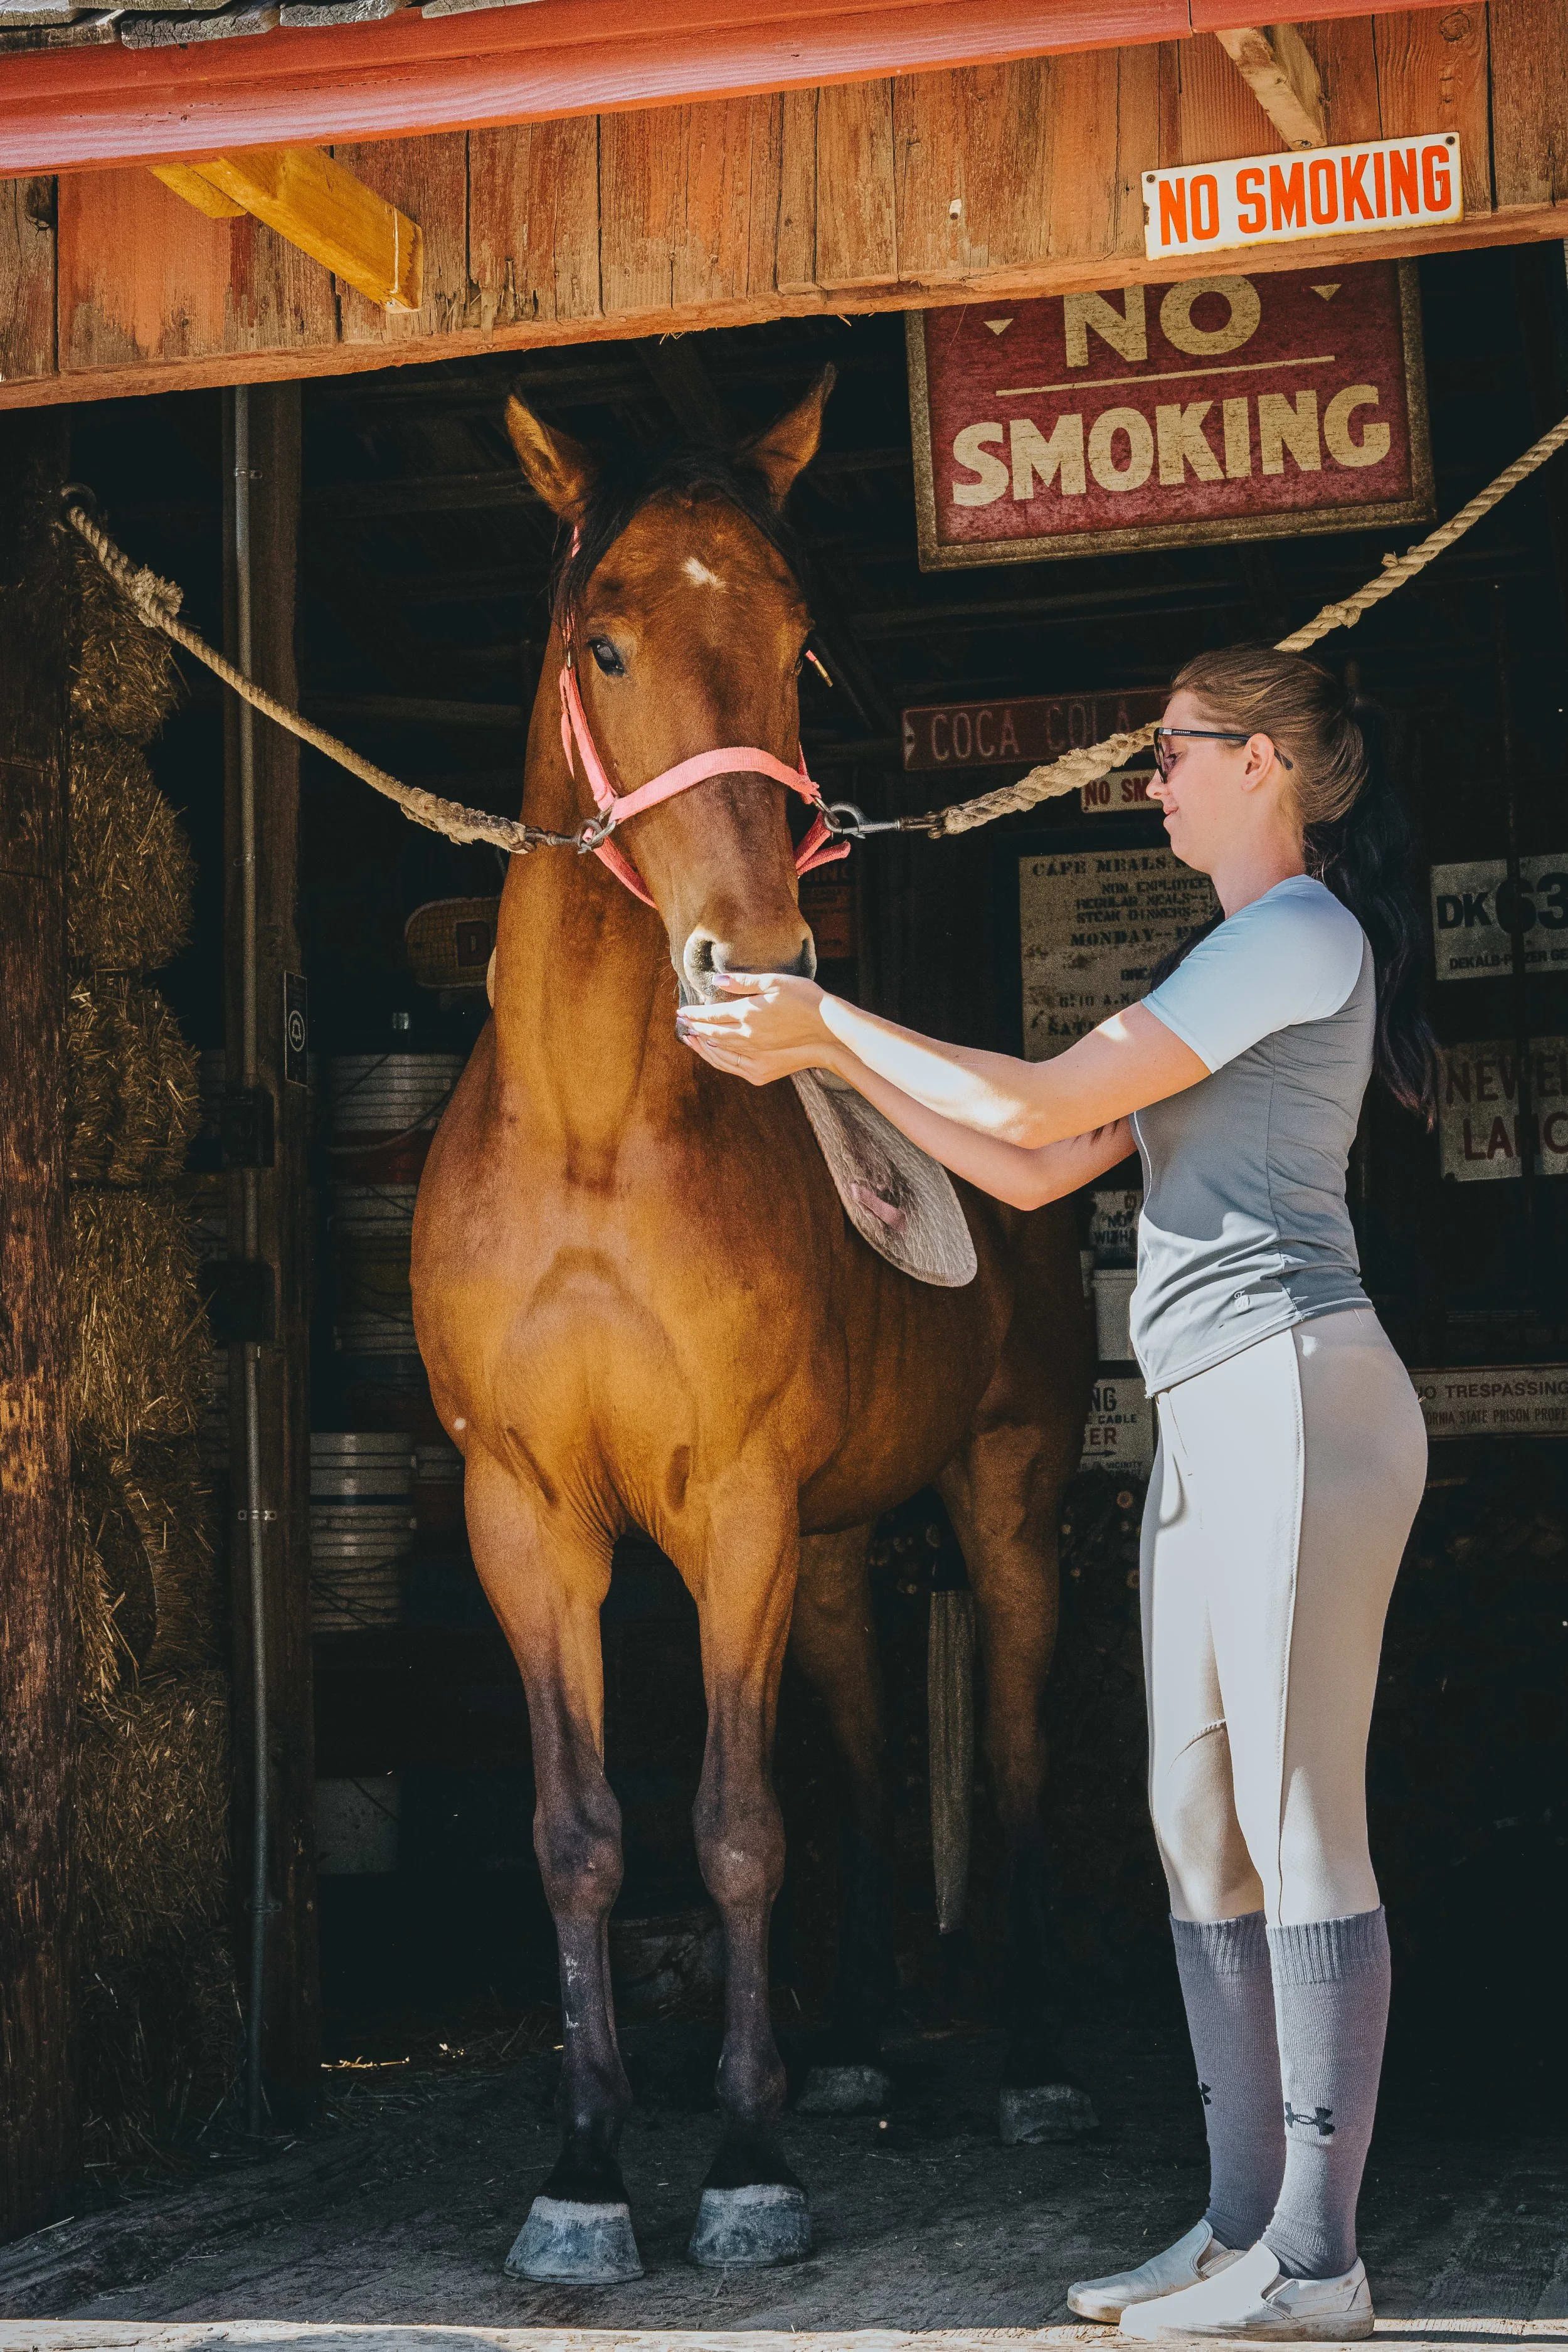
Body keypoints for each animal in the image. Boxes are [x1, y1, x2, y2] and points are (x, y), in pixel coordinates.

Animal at [411, 369, 1095, 2284]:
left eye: (793, 644)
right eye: (609, 640)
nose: (758, 952)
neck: (588, 1136)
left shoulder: (731, 1504)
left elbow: (731, 1828)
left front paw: (738, 2158)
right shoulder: (528, 1516)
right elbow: (582, 1834)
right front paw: (584, 2165)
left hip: (1002, 1493)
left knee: (1015, 1753)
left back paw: (1025, 2060)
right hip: (840, 1539)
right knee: (860, 1759)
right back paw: (852, 2044)